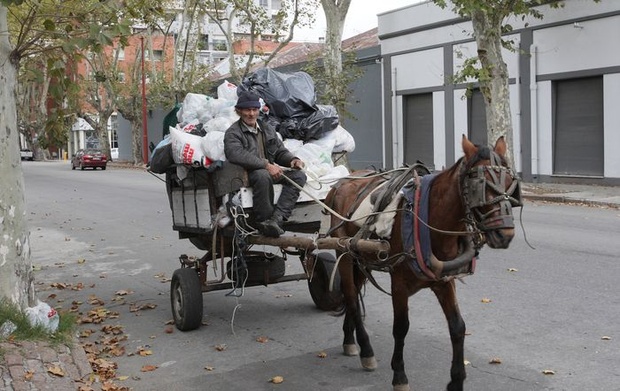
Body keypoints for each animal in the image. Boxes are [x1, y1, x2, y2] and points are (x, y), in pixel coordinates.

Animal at [324, 136, 524, 391]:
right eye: (481, 185)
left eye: (510, 184)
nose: (505, 235)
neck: (427, 218)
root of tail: (340, 184)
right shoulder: (399, 283)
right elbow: (401, 328)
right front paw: (399, 375)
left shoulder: (444, 280)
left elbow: (458, 327)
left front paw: (456, 381)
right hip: (344, 253)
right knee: (350, 296)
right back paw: (366, 350)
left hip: (359, 257)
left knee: (354, 296)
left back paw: (349, 339)